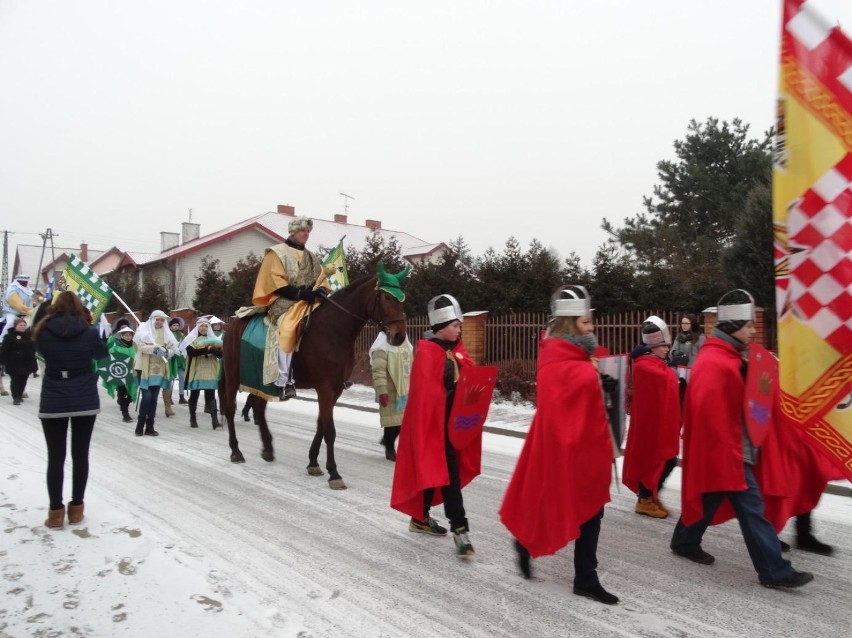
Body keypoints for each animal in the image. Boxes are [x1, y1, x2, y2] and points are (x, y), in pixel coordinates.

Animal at [220, 276, 406, 490]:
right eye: (386, 297)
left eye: (401, 297)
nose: (399, 335)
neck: (333, 330)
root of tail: (232, 324)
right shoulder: (325, 388)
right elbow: (330, 430)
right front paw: (334, 473)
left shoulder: (335, 390)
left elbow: (321, 425)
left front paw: (313, 462)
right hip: (233, 377)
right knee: (230, 409)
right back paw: (236, 451)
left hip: (262, 382)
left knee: (258, 409)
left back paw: (267, 449)